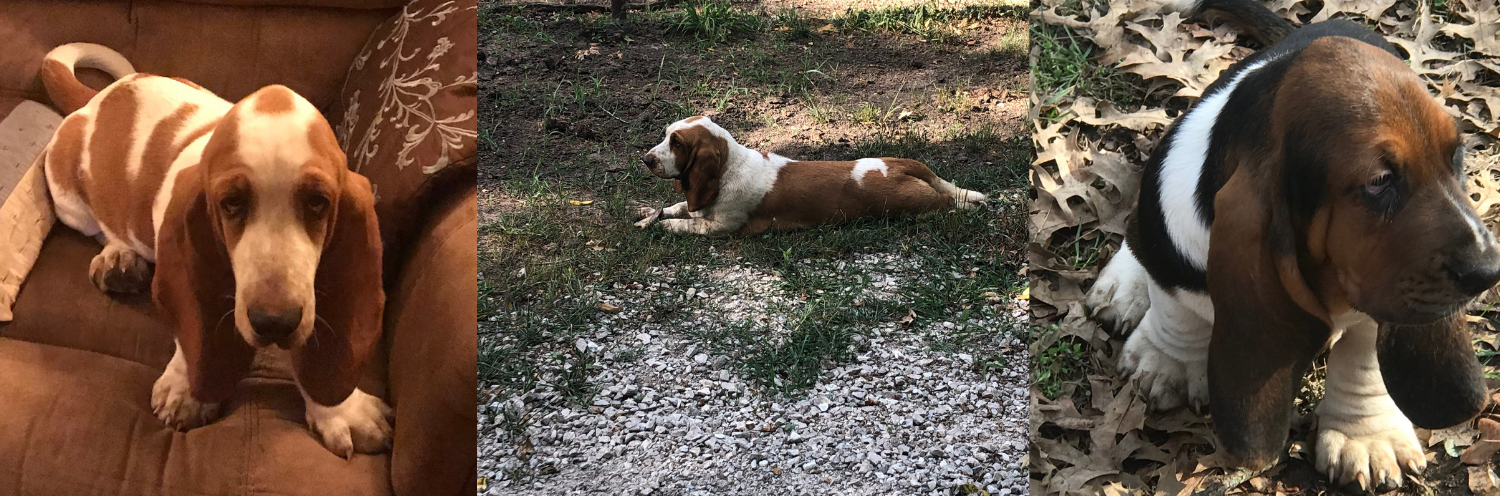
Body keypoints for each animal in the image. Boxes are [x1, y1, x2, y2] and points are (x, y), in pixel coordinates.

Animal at [37, 43, 390, 458]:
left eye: (318, 202)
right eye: (231, 203)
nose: (274, 323)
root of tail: (97, 99)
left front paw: (341, 411)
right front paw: (187, 390)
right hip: (69, 201)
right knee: (101, 228)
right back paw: (119, 259)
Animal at [633, 115, 984, 236]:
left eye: (677, 143)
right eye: (666, 136)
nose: (646, 160)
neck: (729, 169)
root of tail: (903, 164)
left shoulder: (721, 227)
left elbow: (684, 224)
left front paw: (662, 225)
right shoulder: (697, 206)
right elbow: (677, 206)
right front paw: (647, 213)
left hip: (916, 204)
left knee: (948, 201)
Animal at [1092, 0, 1500, 488]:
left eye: (1455, 156)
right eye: (1379, 182)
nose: (1490, 272)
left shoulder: (1382, 293)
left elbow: (1364, 357)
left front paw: (1366, 436)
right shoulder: (1172, 248)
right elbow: (1176, 308)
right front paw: (1163, 359)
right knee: (1136, 231)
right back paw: (1123, 286)